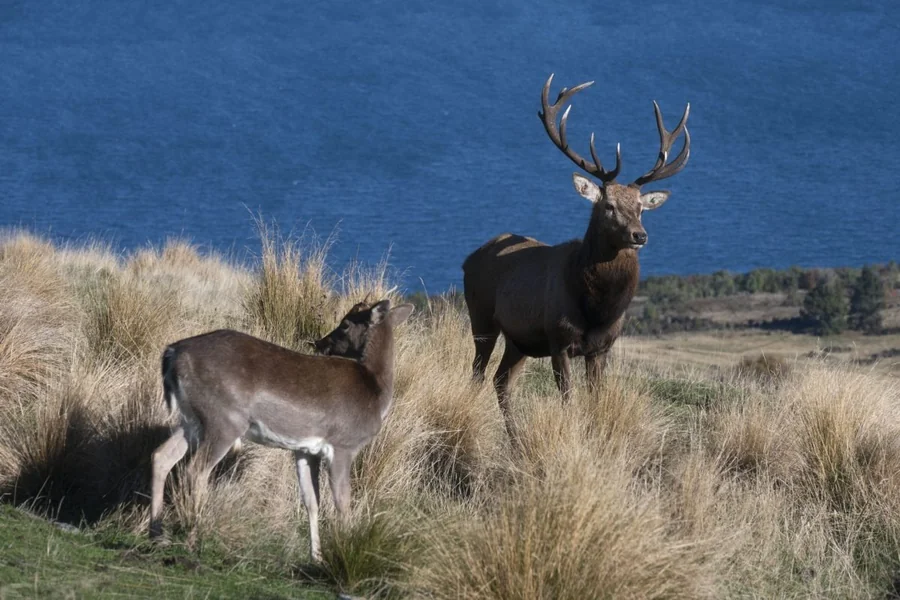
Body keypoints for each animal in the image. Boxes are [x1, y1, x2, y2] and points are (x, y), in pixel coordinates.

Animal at [148, 298, 414, 562]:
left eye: (346, 323)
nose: (320, 343)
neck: (376, 392)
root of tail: (172, 352)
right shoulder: (343, 445)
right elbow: (342, 501)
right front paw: (344, 549)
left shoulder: (306, 450)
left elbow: (311, 500)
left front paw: (316, 557)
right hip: (224, 420)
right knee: (196, 469)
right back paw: (193, 537)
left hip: (192, 420)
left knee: (161, 455)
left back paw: (157, 535)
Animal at [462, 74, 690, 420]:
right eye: (609, 206)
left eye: (641, 207)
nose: (639, 235)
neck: (597, 310)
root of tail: (468, 259)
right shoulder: (559, 338)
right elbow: (568, 399)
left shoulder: (602, 348)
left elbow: (595, 400)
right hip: (482, 316)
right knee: (477, 374)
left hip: (518, 339)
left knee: (501, 382)